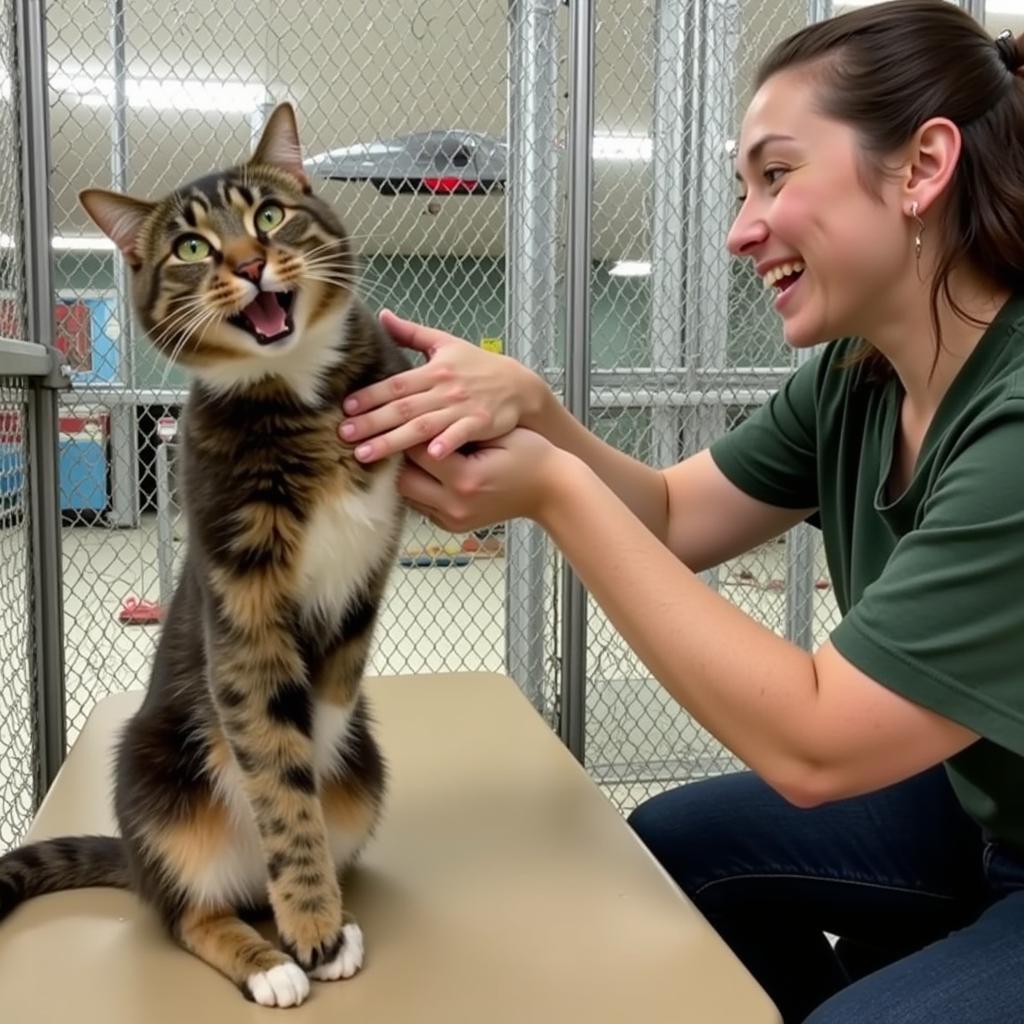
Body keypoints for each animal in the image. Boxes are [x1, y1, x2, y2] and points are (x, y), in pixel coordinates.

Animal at [0, 105, 407, 1007]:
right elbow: (272, 760)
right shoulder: (241, 592)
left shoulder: (371, 552)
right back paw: (275, 959)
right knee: (187, 913)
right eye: (189, 247)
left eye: (269, 215)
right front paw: (310, 922)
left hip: (367, 777)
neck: (302, 398)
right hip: (153, 781)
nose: (251, 265)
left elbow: (329, 696)